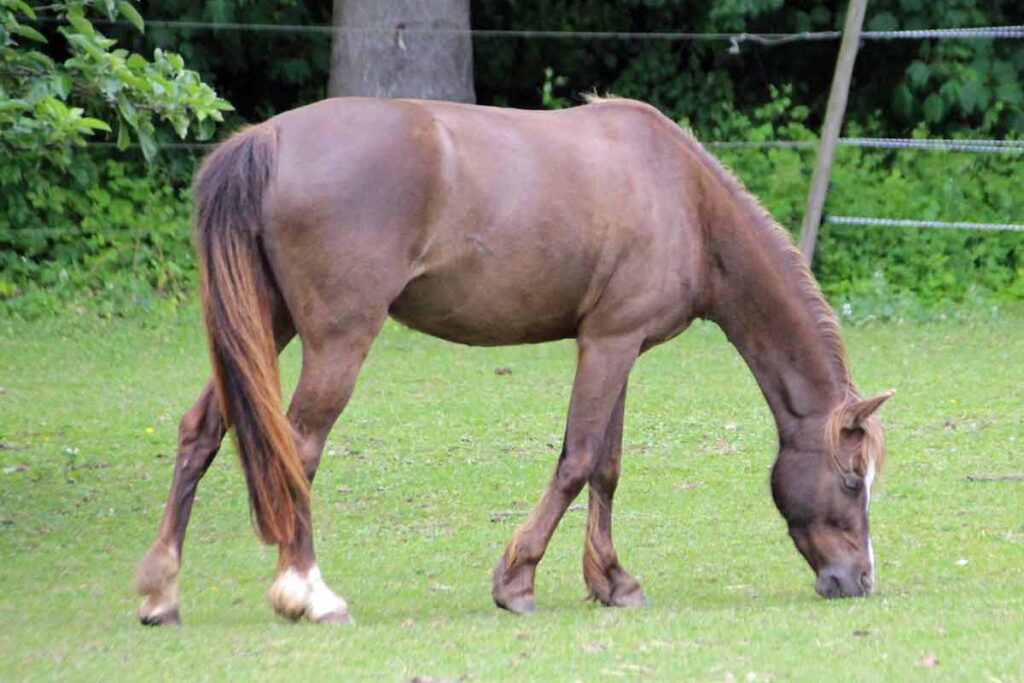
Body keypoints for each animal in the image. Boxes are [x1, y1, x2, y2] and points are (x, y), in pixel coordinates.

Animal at [134, 96, 893, 625]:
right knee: (298, 449)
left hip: (265, 324)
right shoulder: (608, 344)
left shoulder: (619, 345)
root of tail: (267, 139)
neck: (683, 196)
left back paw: (161, 592)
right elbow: (578, 461)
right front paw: (517, 581)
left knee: (201, 432)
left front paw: (612, 581)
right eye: (850, 480)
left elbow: (607, 467)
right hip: (336, 341)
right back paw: (309, 595)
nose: (858, 581)